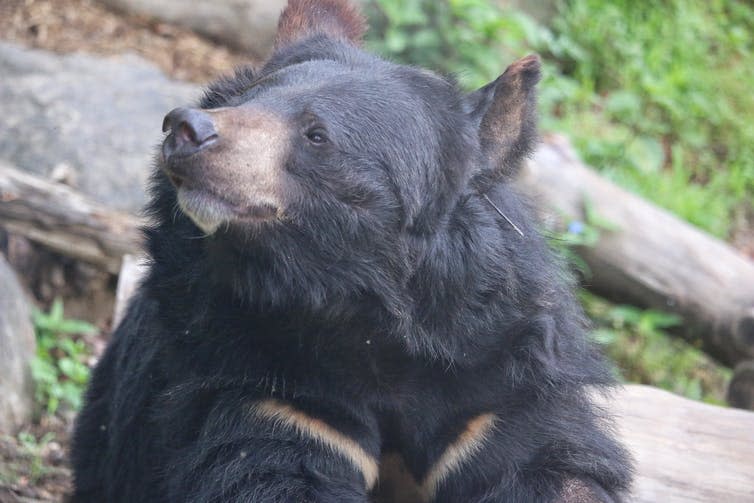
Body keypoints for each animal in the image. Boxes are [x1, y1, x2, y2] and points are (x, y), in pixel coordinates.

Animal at [72, 0, 628, 500]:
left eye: (317, 135)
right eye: (245, 100)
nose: (187, 129)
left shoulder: (495, 383)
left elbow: (546, 466)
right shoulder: (268, 386)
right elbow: (264, 468)